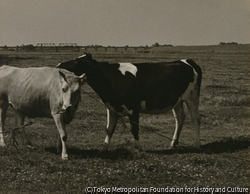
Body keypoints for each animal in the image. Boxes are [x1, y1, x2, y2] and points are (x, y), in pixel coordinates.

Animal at [57, 53, 202, 150]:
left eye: (77, 62)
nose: (59, 65)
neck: (110, 77)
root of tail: (186, 61)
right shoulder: (112, 108)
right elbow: (109, 129)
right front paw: (104, 148)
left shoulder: (133, 108)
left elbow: (134, 129)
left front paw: (138, 148)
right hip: (177, 101)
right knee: (180, 118)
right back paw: (173, 143)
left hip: (192, 98)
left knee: (196, 119)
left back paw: (197, 144)